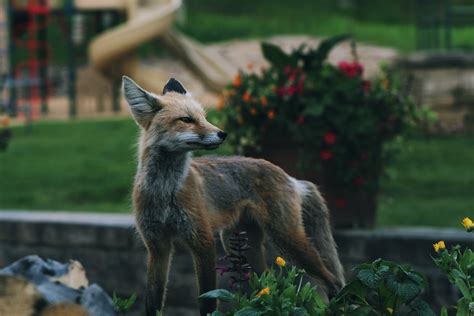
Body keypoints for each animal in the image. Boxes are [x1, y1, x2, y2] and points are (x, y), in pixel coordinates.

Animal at [122, 75, 344, 314]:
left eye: (204, 117)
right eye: (186, 119)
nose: (222, 133)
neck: (164, 190)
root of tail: (290, 176)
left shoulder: (203, 241)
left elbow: (207, 300)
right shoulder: (157, 246)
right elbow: (152, 301)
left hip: (287, 240)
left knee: (332, 281)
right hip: (239, 245)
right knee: (269, 286)